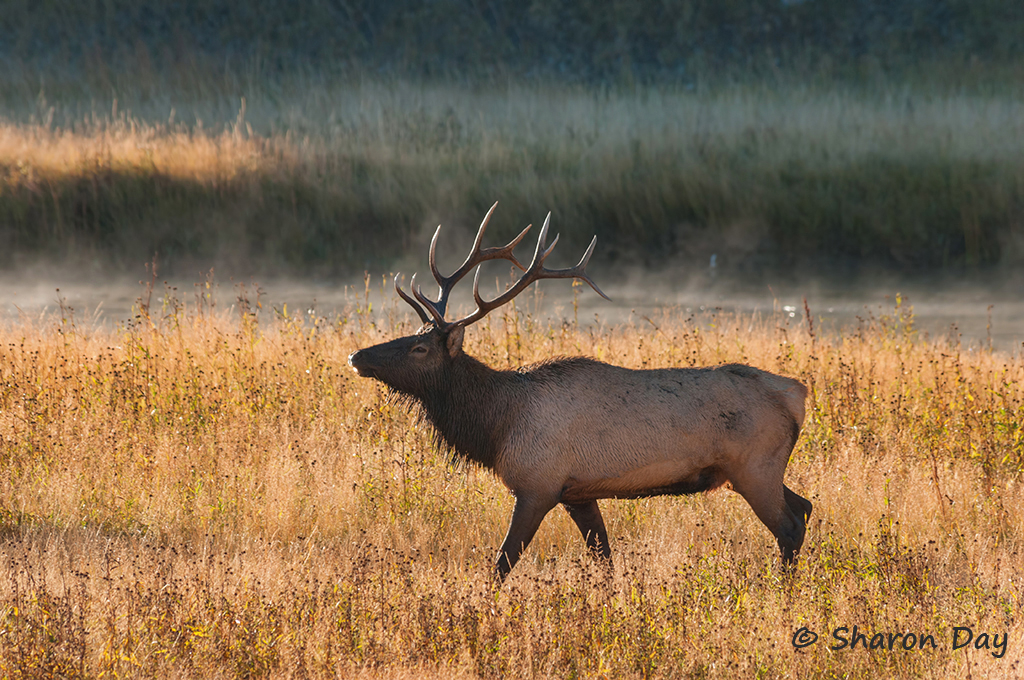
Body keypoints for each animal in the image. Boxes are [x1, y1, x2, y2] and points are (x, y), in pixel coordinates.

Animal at [348, 204, 811, 581]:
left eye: (420, 348)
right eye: (413, 336)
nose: (356, 356)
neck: (497, 426)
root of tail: (797, 394)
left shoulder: (537, 485)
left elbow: (502, 563)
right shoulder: (579, 494)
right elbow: (604, 559)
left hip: (755, 467)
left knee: (789, 527)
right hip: (754, 471)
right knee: (805, 507)